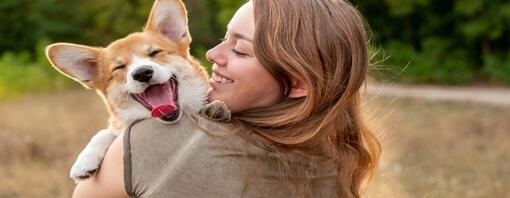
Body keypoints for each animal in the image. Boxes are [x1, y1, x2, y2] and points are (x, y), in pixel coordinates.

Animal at [45, 0, 227, 183]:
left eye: (154, 52)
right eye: (119, 67)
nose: (142, 73)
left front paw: (217, 109)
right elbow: (105, 132)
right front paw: (85, 160)